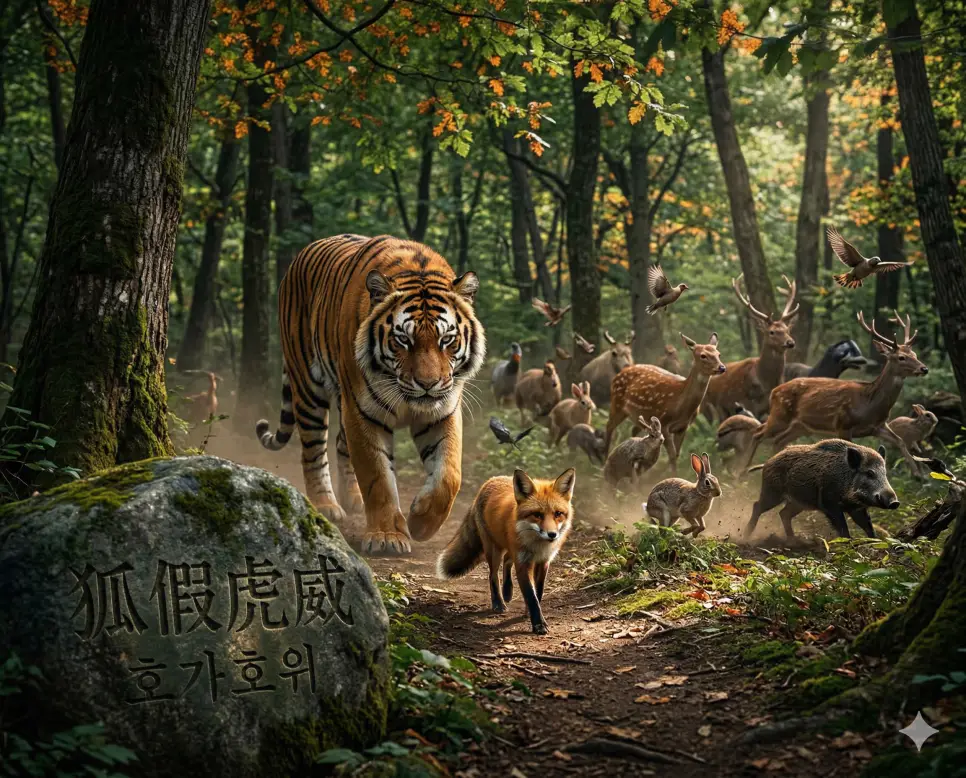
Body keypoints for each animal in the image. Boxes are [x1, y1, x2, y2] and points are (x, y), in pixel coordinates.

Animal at [256, 234, 486, 555]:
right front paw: (387, 537)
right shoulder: (363, 412)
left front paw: (421, 523)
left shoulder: (444, 410)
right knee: (313, 450)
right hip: (308, 386)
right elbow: (377, 477)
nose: (427, 384)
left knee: (340, 444)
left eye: (446, 339)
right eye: (403, 339)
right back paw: (325, 506)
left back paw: (352, 499)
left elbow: (449, 475)